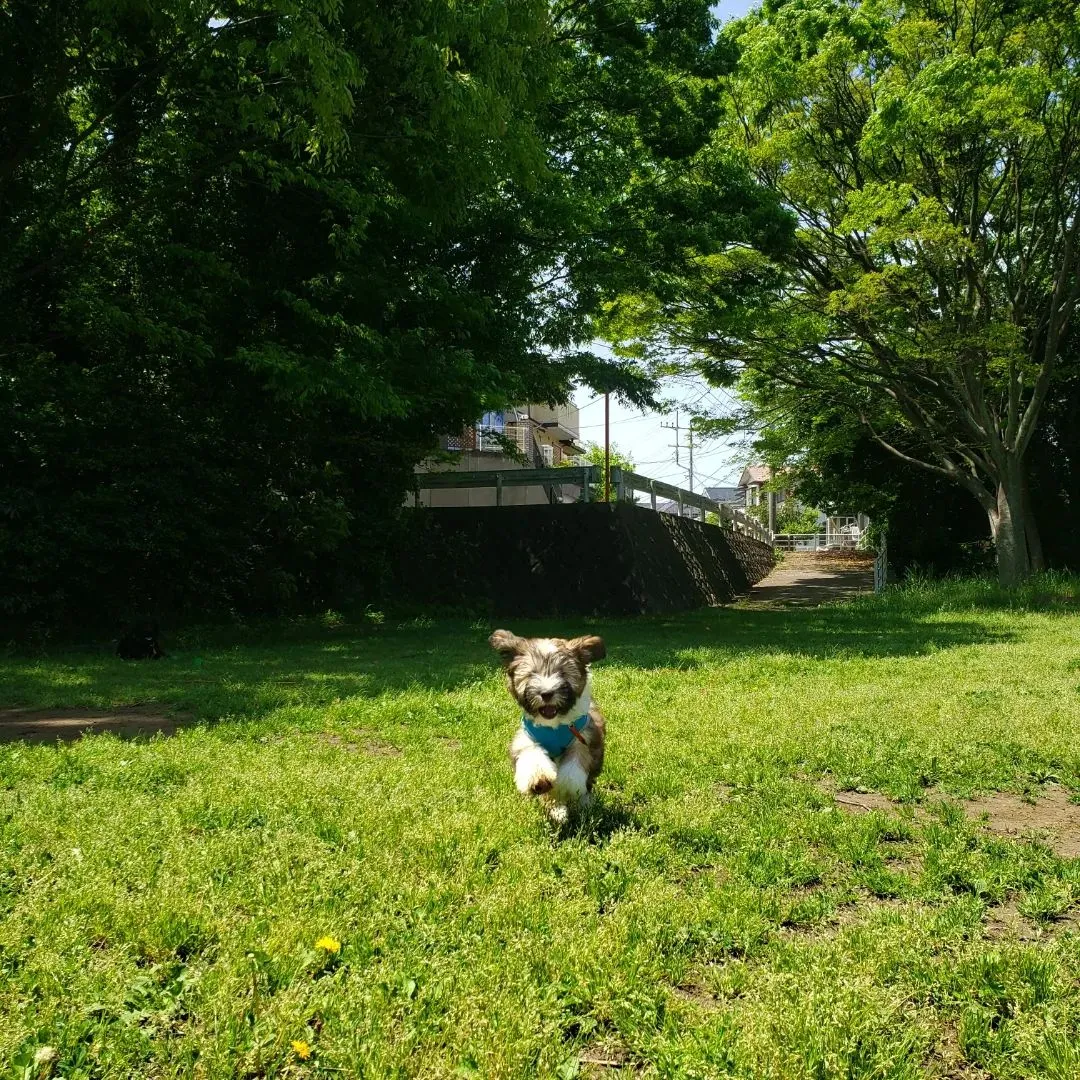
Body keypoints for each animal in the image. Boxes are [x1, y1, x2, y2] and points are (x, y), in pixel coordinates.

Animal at [492, 630, 609, 820]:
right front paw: (539, 780)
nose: (546, 693)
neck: (554, 725)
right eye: (532, 674)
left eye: (562, 673)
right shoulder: (526, 738)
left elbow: (573, 768)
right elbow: (532, 756)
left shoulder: (584, 738)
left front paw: (564, 788)